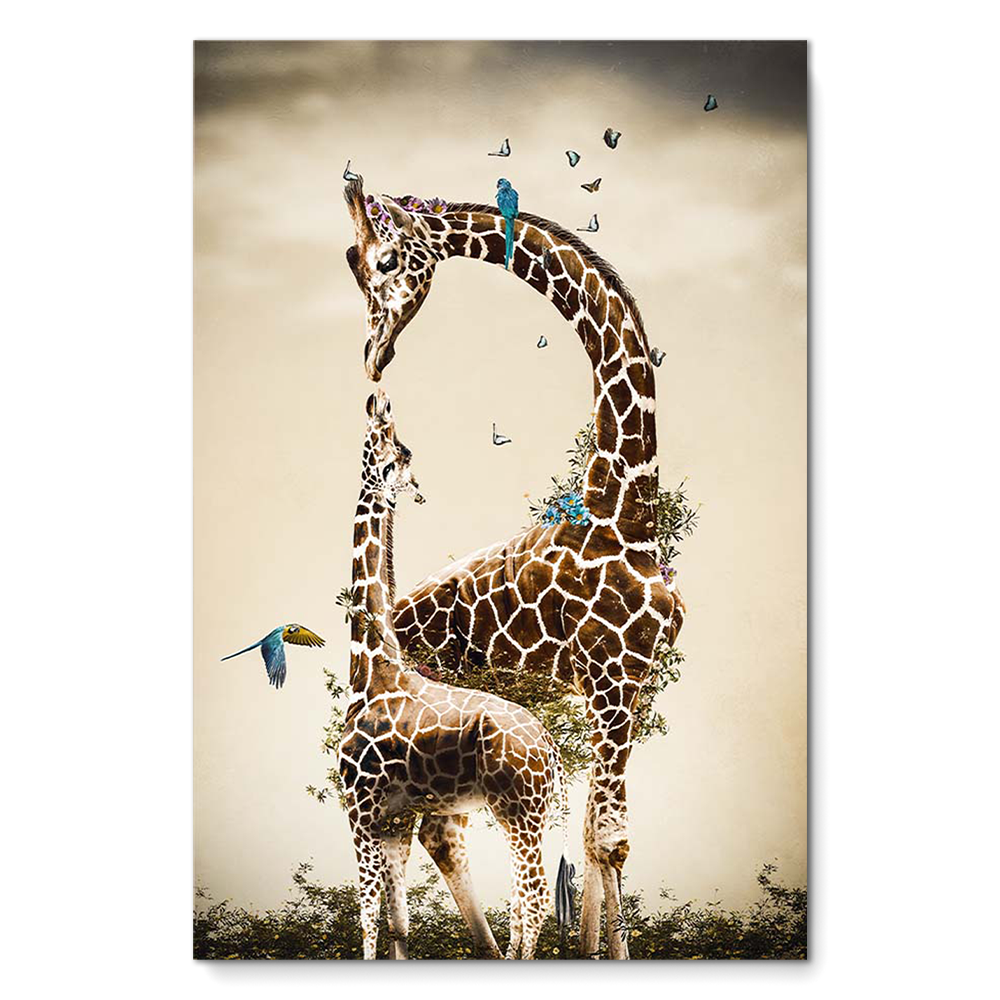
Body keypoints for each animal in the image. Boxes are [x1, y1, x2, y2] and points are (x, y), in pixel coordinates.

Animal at [339, 388, 569, 961]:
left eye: (399, 446)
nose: (415, 489)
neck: (370, 666)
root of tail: (552, 751)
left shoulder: (358, 805)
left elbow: (368, 918)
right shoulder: (393, 820)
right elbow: (397, 922)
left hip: (517, 809)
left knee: (533, 902)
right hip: (526, 813)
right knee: (522, 905)